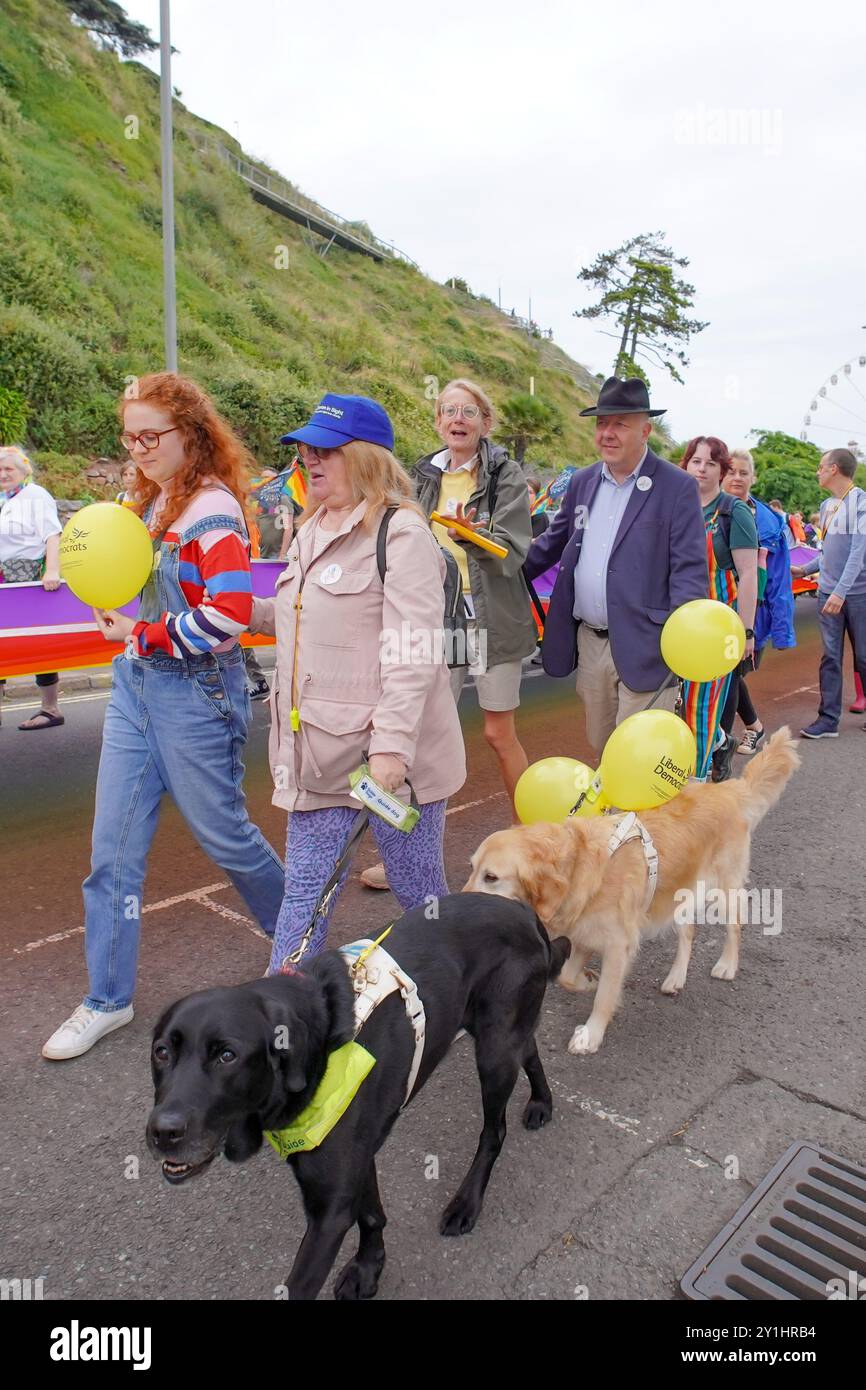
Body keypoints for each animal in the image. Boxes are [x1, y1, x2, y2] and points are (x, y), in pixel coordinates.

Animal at [147, 895, 569, 1295]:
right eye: (161, 1052)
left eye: (227, 1056)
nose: (162, 1132)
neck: (318, 1046)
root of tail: (523, 910)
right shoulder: (356, 1160)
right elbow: (370, 1214)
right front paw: (370, 1267)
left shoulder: (330, 1207)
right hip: (501, 1036)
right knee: (529, 1048)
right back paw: (541, 1102)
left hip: (494, 1052)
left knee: (494, 1131)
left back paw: (466, 1203)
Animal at [467, 728, 800, 1050]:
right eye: (472, 868)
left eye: (491, 877)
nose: (462, 905)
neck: (579, 864)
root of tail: (726, 789)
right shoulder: (584, 932)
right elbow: (567, 977)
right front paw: (588, 980)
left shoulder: (618, 943)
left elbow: (604, 996)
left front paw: (591, 1034)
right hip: (677, 892)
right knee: (689, 932)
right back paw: (675, 978)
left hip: (725, 888)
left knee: (734, 927)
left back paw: (727, 965)